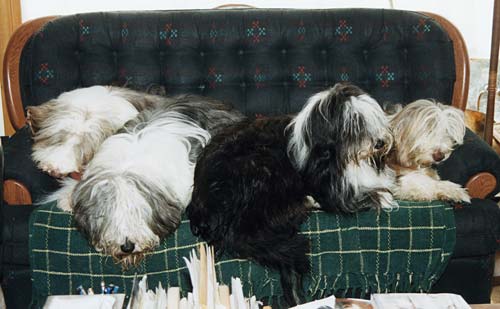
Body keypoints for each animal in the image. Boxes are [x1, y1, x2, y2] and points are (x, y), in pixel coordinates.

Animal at [186, 82, 396, 306]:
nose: (380, 143)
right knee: (248, 232)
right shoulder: (326, 186)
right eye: (354, 123)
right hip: (260, 169)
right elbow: (346, 201)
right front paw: (381, 196)